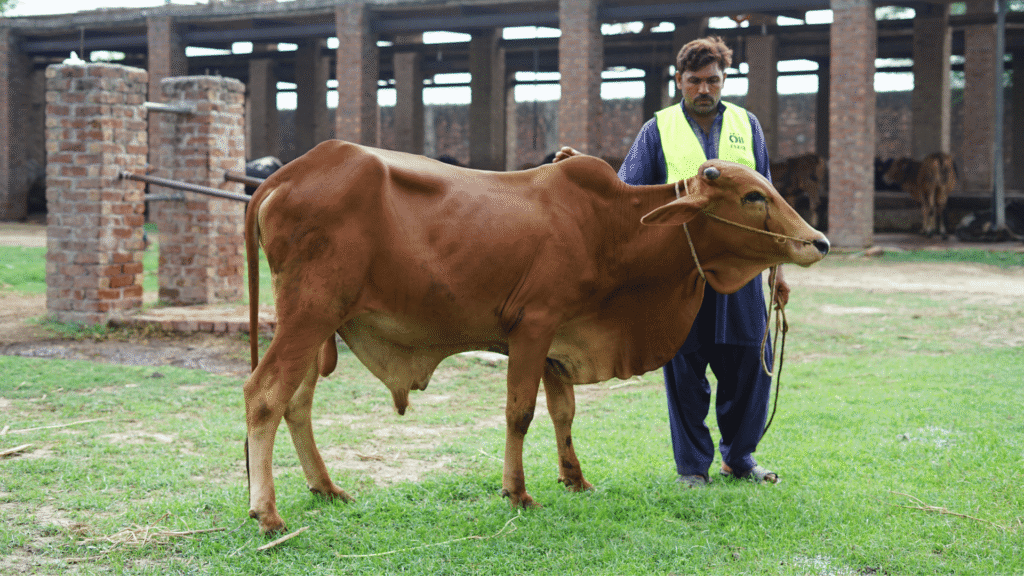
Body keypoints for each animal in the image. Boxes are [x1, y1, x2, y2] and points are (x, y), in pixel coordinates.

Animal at [243, 140, 830, 533]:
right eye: (753, 196)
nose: (818, 241)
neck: (610, 228)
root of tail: (286, 175)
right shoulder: (533, 326)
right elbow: (520, 413)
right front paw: (518, 492)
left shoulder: (558, 343)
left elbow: (563, 413)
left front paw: (575, 478)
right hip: (309, 314)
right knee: (263, 396)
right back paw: (268, 513)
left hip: (315, 322)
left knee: (296, 403)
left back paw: (324, 487)